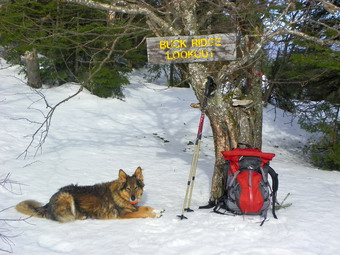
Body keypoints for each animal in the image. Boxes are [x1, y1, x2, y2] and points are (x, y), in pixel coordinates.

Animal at [15, 166, 163, 222]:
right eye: (127, 188)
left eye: (136, 188)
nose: (134, 197)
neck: (120, 196)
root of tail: (47, 205)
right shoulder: (124, 214)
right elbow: (142, 212)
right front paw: (154, 216)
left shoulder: (133, 207)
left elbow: (146, 207)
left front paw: (158, 210)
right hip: (67, 195)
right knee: (68, 216)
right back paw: (82, 216)